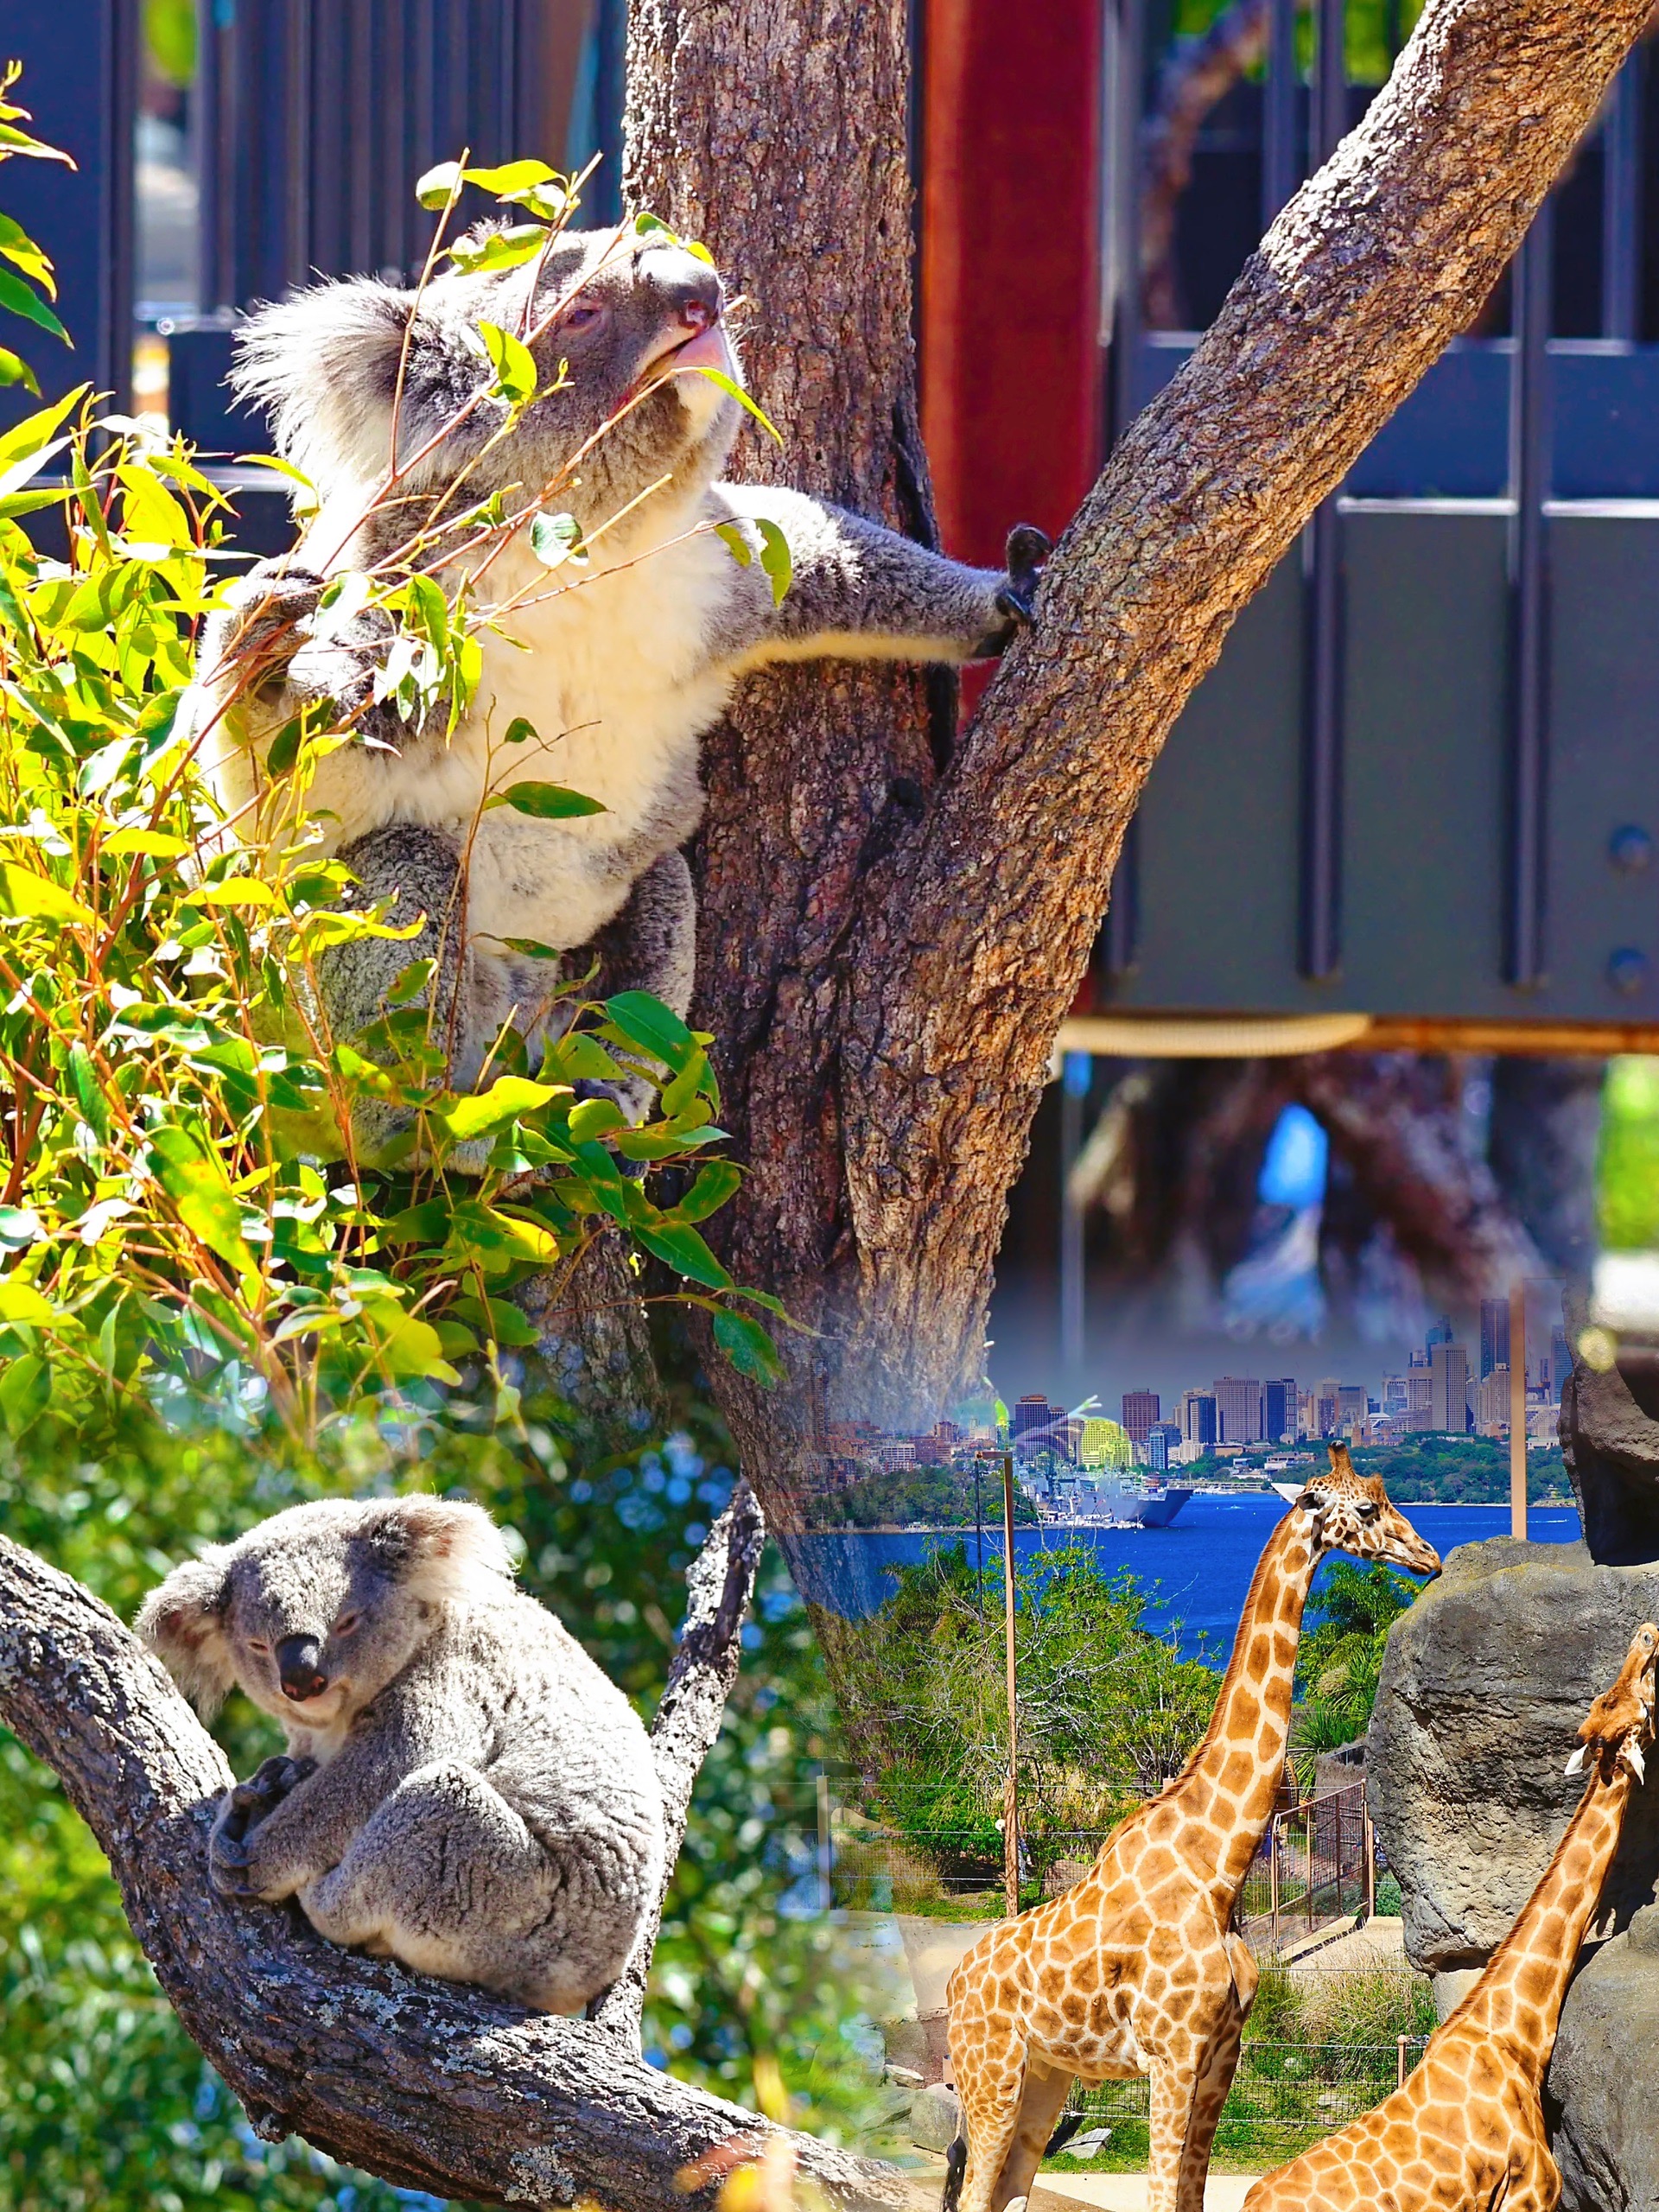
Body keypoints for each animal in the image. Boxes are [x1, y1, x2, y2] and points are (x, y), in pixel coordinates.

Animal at [946, 1442, 1442, 2212]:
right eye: (1366, 1508)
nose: (1429, 1557)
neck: (1220, 1864)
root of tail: (950, 1988)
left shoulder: (1222, 2056)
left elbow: (1192, 2195)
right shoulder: (1171, 2056)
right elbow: (1159, 2196)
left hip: (1046, 2077)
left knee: (1011, 2191)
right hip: (989, 2072)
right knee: (973, 2192)